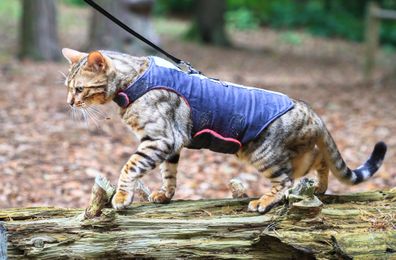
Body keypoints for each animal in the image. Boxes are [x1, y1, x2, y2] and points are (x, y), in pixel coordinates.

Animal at [62, 48, 386, 213]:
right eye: (67, 87)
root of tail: (311, 111)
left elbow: (129, 166)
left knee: (286, 182)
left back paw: (263, 201)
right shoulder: (172, 145)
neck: (134, 81)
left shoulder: (160, 138)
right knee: (320, 160)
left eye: (79, 89)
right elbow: (169, 174)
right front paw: (165, 195)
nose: (69, 102)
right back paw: (319, 186)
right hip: (296, 154)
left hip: (262, 154)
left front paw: (121, 198)